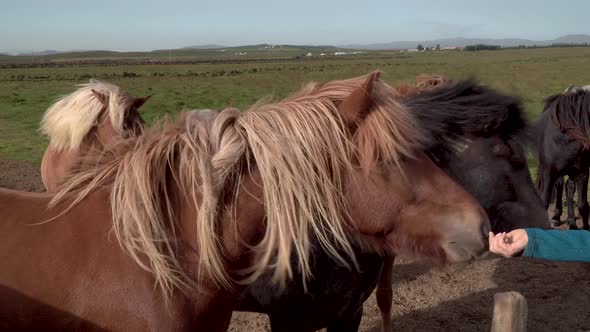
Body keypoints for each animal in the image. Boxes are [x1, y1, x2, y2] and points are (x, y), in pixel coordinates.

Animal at [536, 84, 590, 230]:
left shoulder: (582, 172)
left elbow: (583, 205)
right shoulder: (549, 172)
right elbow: (544, 202)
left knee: (568, 188)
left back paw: (571, 222)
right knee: (560, 185)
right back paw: (556, 217)